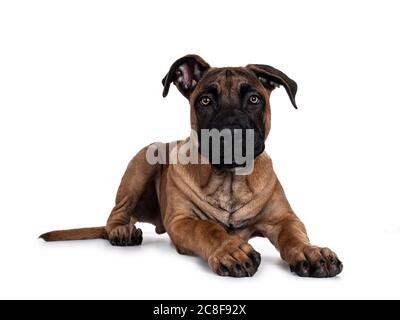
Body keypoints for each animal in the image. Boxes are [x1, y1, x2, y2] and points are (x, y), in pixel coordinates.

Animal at [39, 55, 344, 278]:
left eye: (254, 99)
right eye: (205, 100)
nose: (231, 133)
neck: (229, 179)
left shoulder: (283, 218)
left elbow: (294, 235)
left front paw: (310, 251)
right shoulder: (182, 221)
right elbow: (207, 228)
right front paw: (231, 250)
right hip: (142, 162)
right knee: (115, 216)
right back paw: (122, 231)